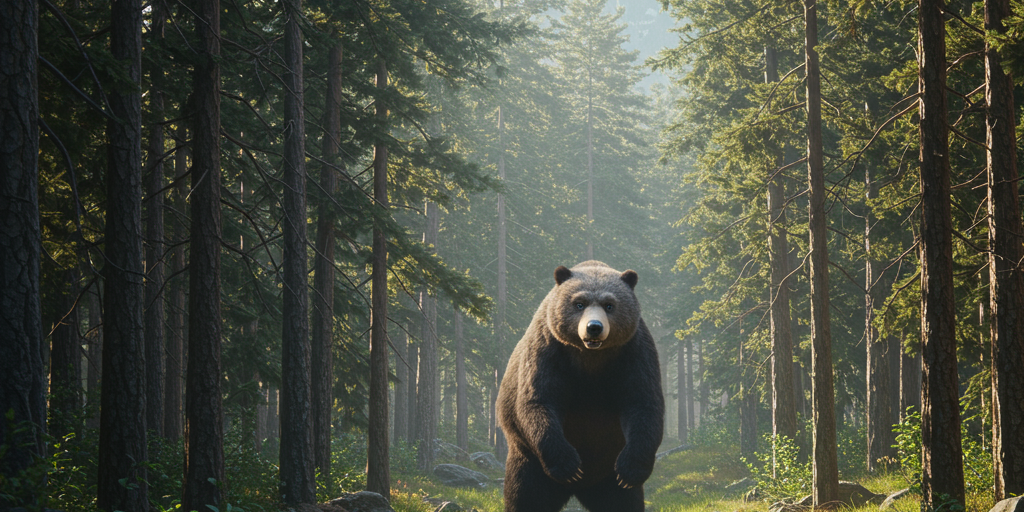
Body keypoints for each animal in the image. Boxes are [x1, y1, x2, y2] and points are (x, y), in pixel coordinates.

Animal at [497, 260, 664, 512]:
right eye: (579, 303)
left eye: (609, 305)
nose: (594, 327)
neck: (590, 356)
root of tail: (580, 489)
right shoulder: (548, 350)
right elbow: (538, 401)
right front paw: (568, 465)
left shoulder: (633, 353)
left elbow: (643, 403)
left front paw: (631, 470)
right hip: (530, 464)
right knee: (527, 497)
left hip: (608, 478)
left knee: (623, 501)